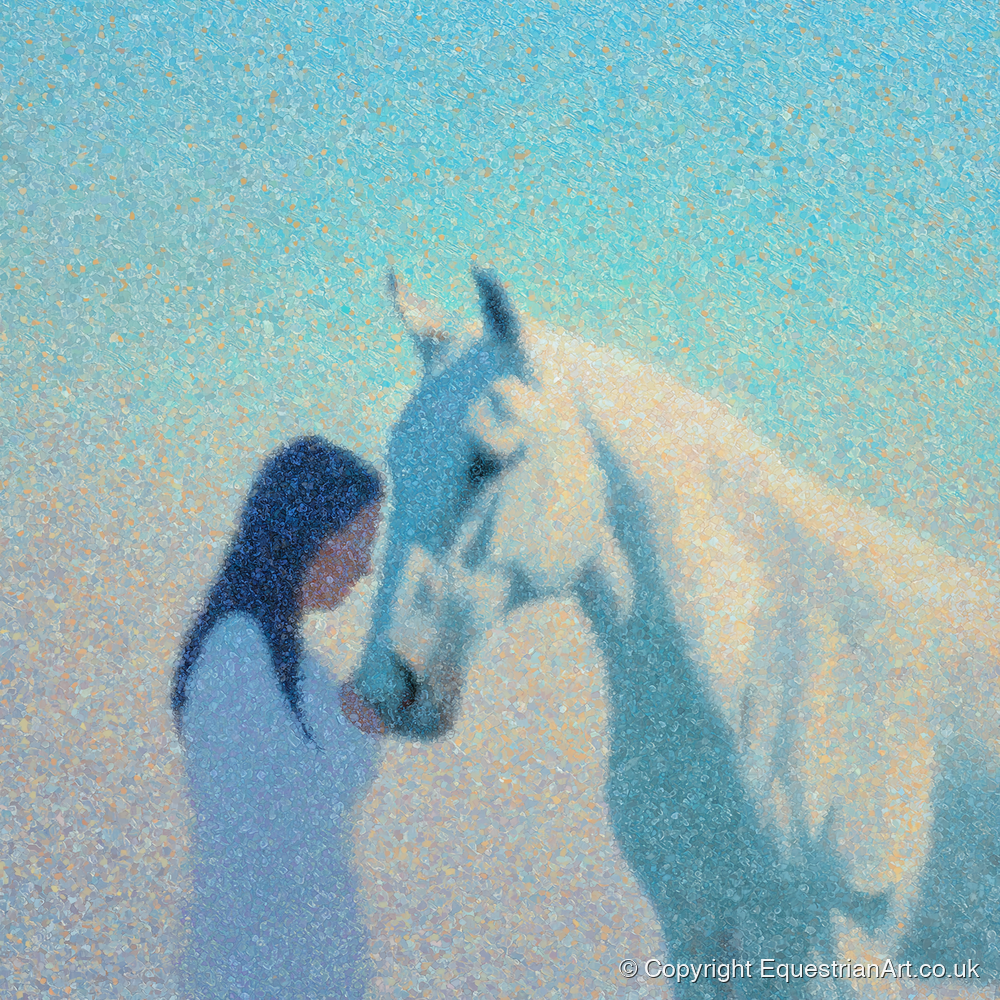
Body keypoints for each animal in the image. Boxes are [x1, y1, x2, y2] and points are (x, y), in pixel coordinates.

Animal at [348, 266, 1000, 999]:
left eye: (488, 459)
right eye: (396, 455)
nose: (385, 686)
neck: (773, 658)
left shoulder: (846, 952)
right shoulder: (703, 940)